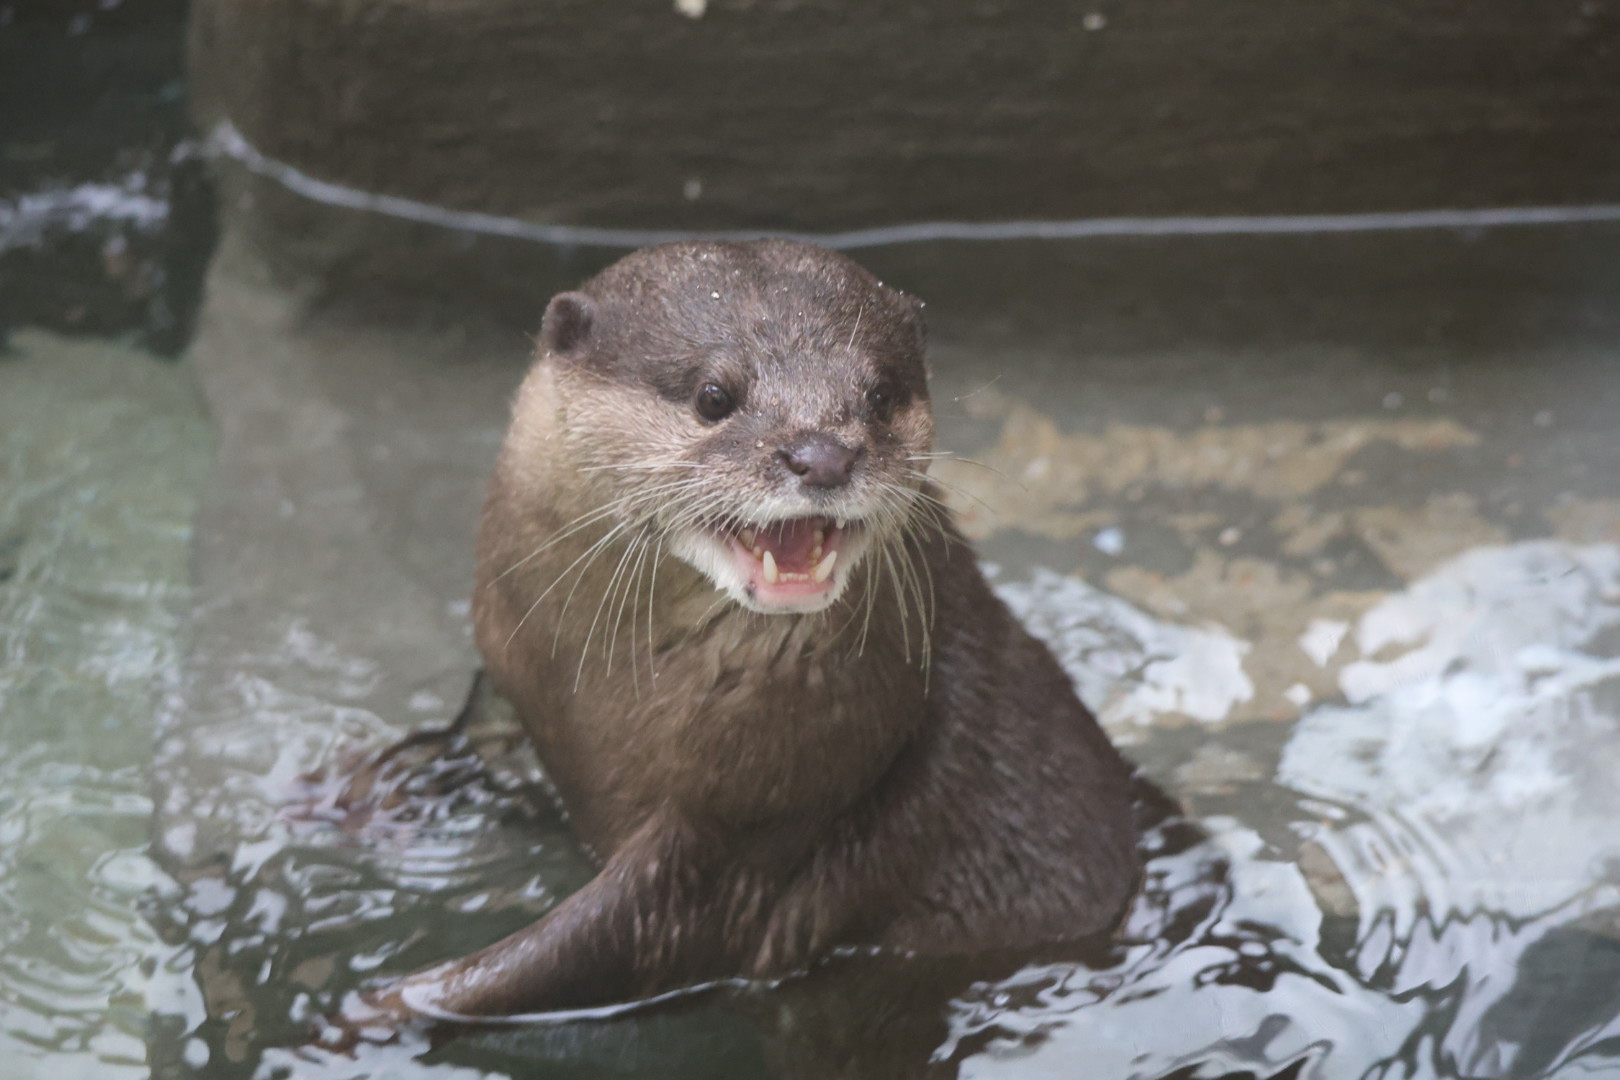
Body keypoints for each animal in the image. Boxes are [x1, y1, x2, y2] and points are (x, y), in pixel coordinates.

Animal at [359, 239, 1141, 1023]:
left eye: (881, 396)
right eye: (714, 395)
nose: (823, 455)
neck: (596, 698)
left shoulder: (746, 828)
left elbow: (582, 950)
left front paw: (381, 1012)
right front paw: (378, 788)